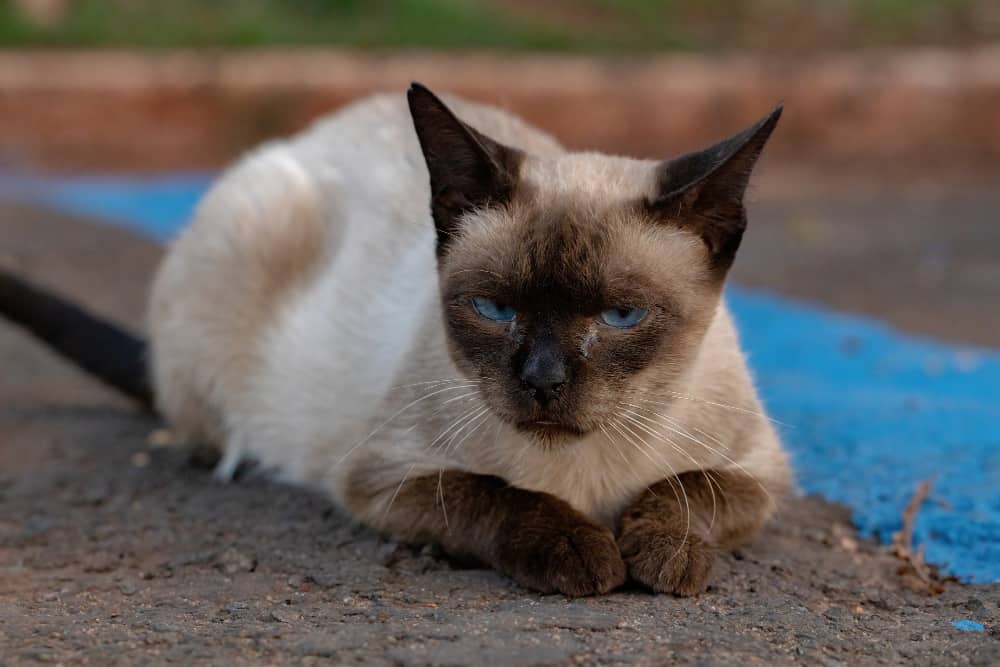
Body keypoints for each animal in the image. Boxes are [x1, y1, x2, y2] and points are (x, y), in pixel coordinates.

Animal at [3, 81, 792, 596]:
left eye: (622, 317)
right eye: (493, 308)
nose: (542, 380)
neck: (582, 476)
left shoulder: (763, 473)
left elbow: (687, 487)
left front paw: (663, 556)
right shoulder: (385, 477)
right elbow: (498, 495)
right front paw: (583, 552)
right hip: (258, 228)